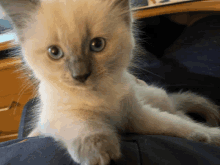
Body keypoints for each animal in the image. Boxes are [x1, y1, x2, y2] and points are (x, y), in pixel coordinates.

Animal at [1, 0, 220, 165]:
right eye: (54, 52)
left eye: (97, 45)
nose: (80, 75)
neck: (98, 96)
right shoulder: (59, 116)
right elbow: (84, 124)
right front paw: (100, 151)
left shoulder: (136, 116)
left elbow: (174, 125)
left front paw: (209, 135)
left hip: (156, 99)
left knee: (179, 112)